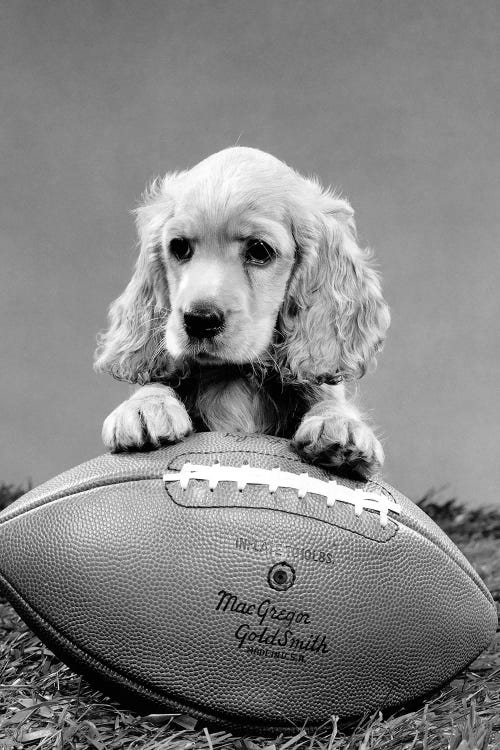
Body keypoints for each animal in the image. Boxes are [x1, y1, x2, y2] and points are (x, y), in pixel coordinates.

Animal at [94, 147, 390, 478]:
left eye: (260, 250)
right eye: (179, 247)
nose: (199, 320)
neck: (232, 375)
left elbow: (330, 400)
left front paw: (341, 423)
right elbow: (157, 382)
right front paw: (144, 406)